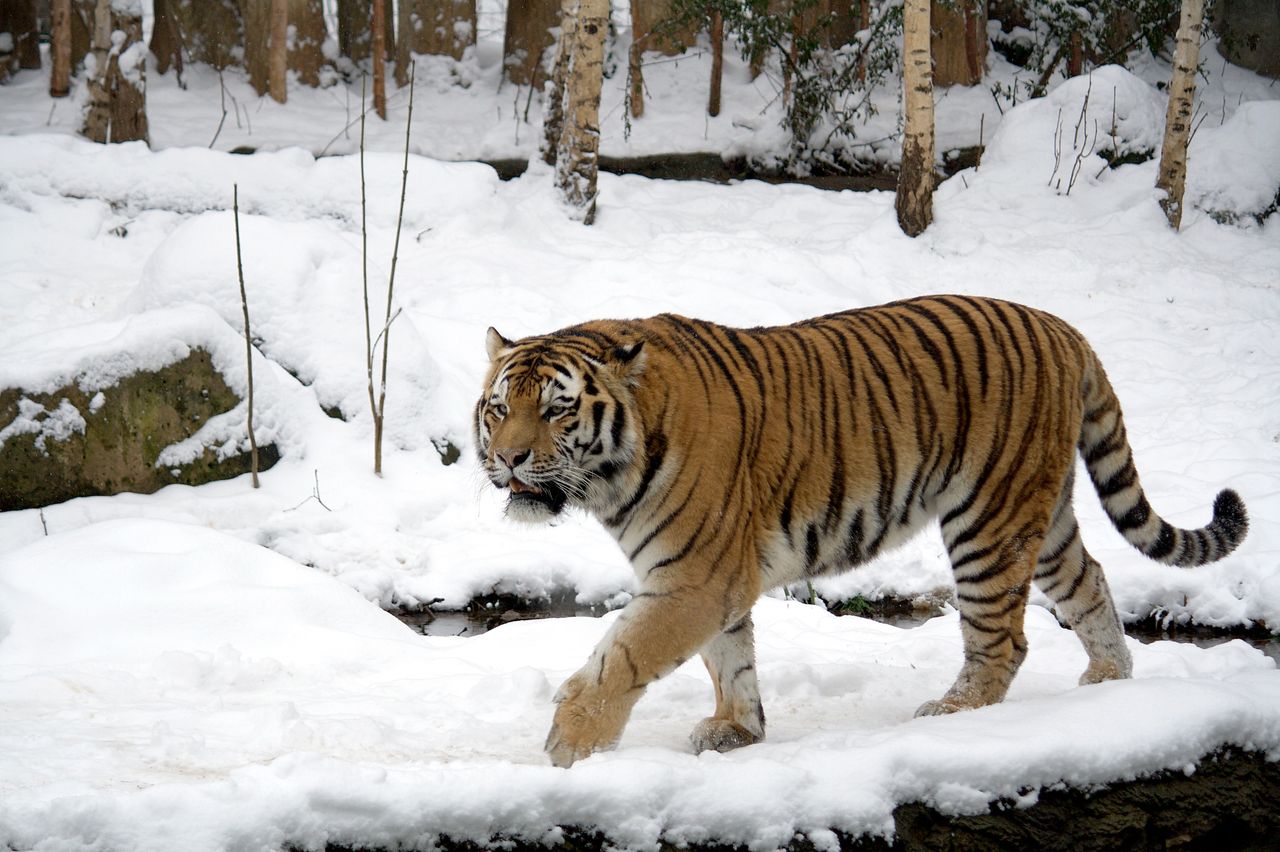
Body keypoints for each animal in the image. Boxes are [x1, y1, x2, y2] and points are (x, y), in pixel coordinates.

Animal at [476, 295, 1244, 767]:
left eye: (556, 410)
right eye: (498, 408)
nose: (507, 458)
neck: (613, 473)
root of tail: (1064, 329)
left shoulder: (694, 578)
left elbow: (622, 658)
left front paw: (569, 747)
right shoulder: (710, 578)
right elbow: (730, 658)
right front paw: (738, 730)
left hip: (988, 519)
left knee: (1004, 638)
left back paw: (954, 713)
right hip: (1042, 515)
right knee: (1089, 582)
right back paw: (1107, 684)